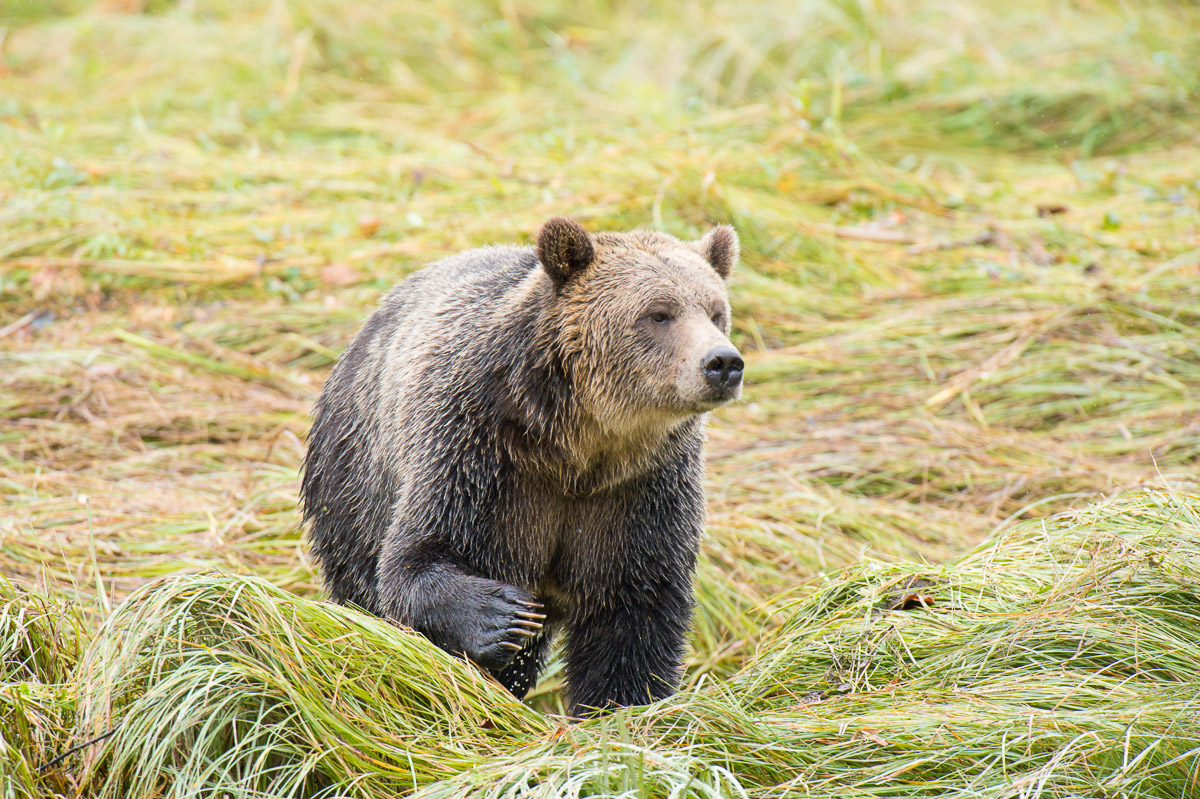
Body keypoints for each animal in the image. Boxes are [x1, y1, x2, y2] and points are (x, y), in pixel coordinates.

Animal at [300, 214, 739, 710]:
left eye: (715, 311)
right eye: (659, 313)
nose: (723, 362)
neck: (577, 444)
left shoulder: (640, 489)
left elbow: (635, 613)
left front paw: (621, 705)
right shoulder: (478, 455)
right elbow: (418, 559)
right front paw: (503, 614)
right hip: (353, 479)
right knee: (360, 586)